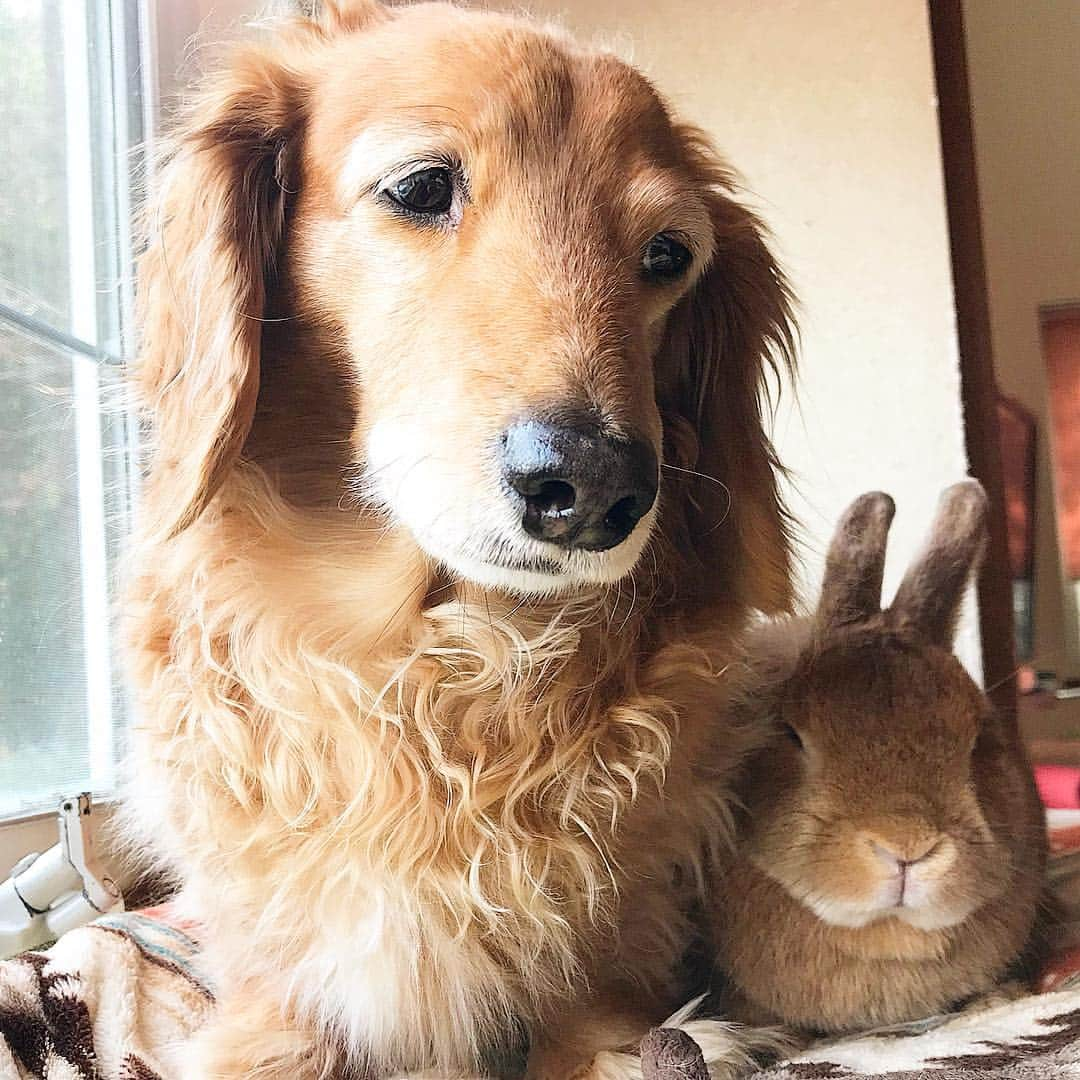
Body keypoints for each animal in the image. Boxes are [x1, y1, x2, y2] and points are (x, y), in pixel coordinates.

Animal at [124, 2, 794, 1080]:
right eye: (421, 188)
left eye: (667, 255)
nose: (597, 487)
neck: (441, 660)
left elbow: (598, 998)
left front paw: (648, 1045)